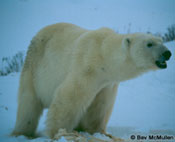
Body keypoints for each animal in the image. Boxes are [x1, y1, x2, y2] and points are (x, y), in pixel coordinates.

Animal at [11, 22, 172, 138]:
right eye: (149, 44)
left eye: (161, 40)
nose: (168, 53)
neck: (104, 54)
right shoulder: (86, 67)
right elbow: (69, 97)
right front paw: (59, 132)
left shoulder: (107, 83)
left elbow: (100, 106)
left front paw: (96, 131)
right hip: (34, 67)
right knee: (28, 102)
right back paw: (22, 132)